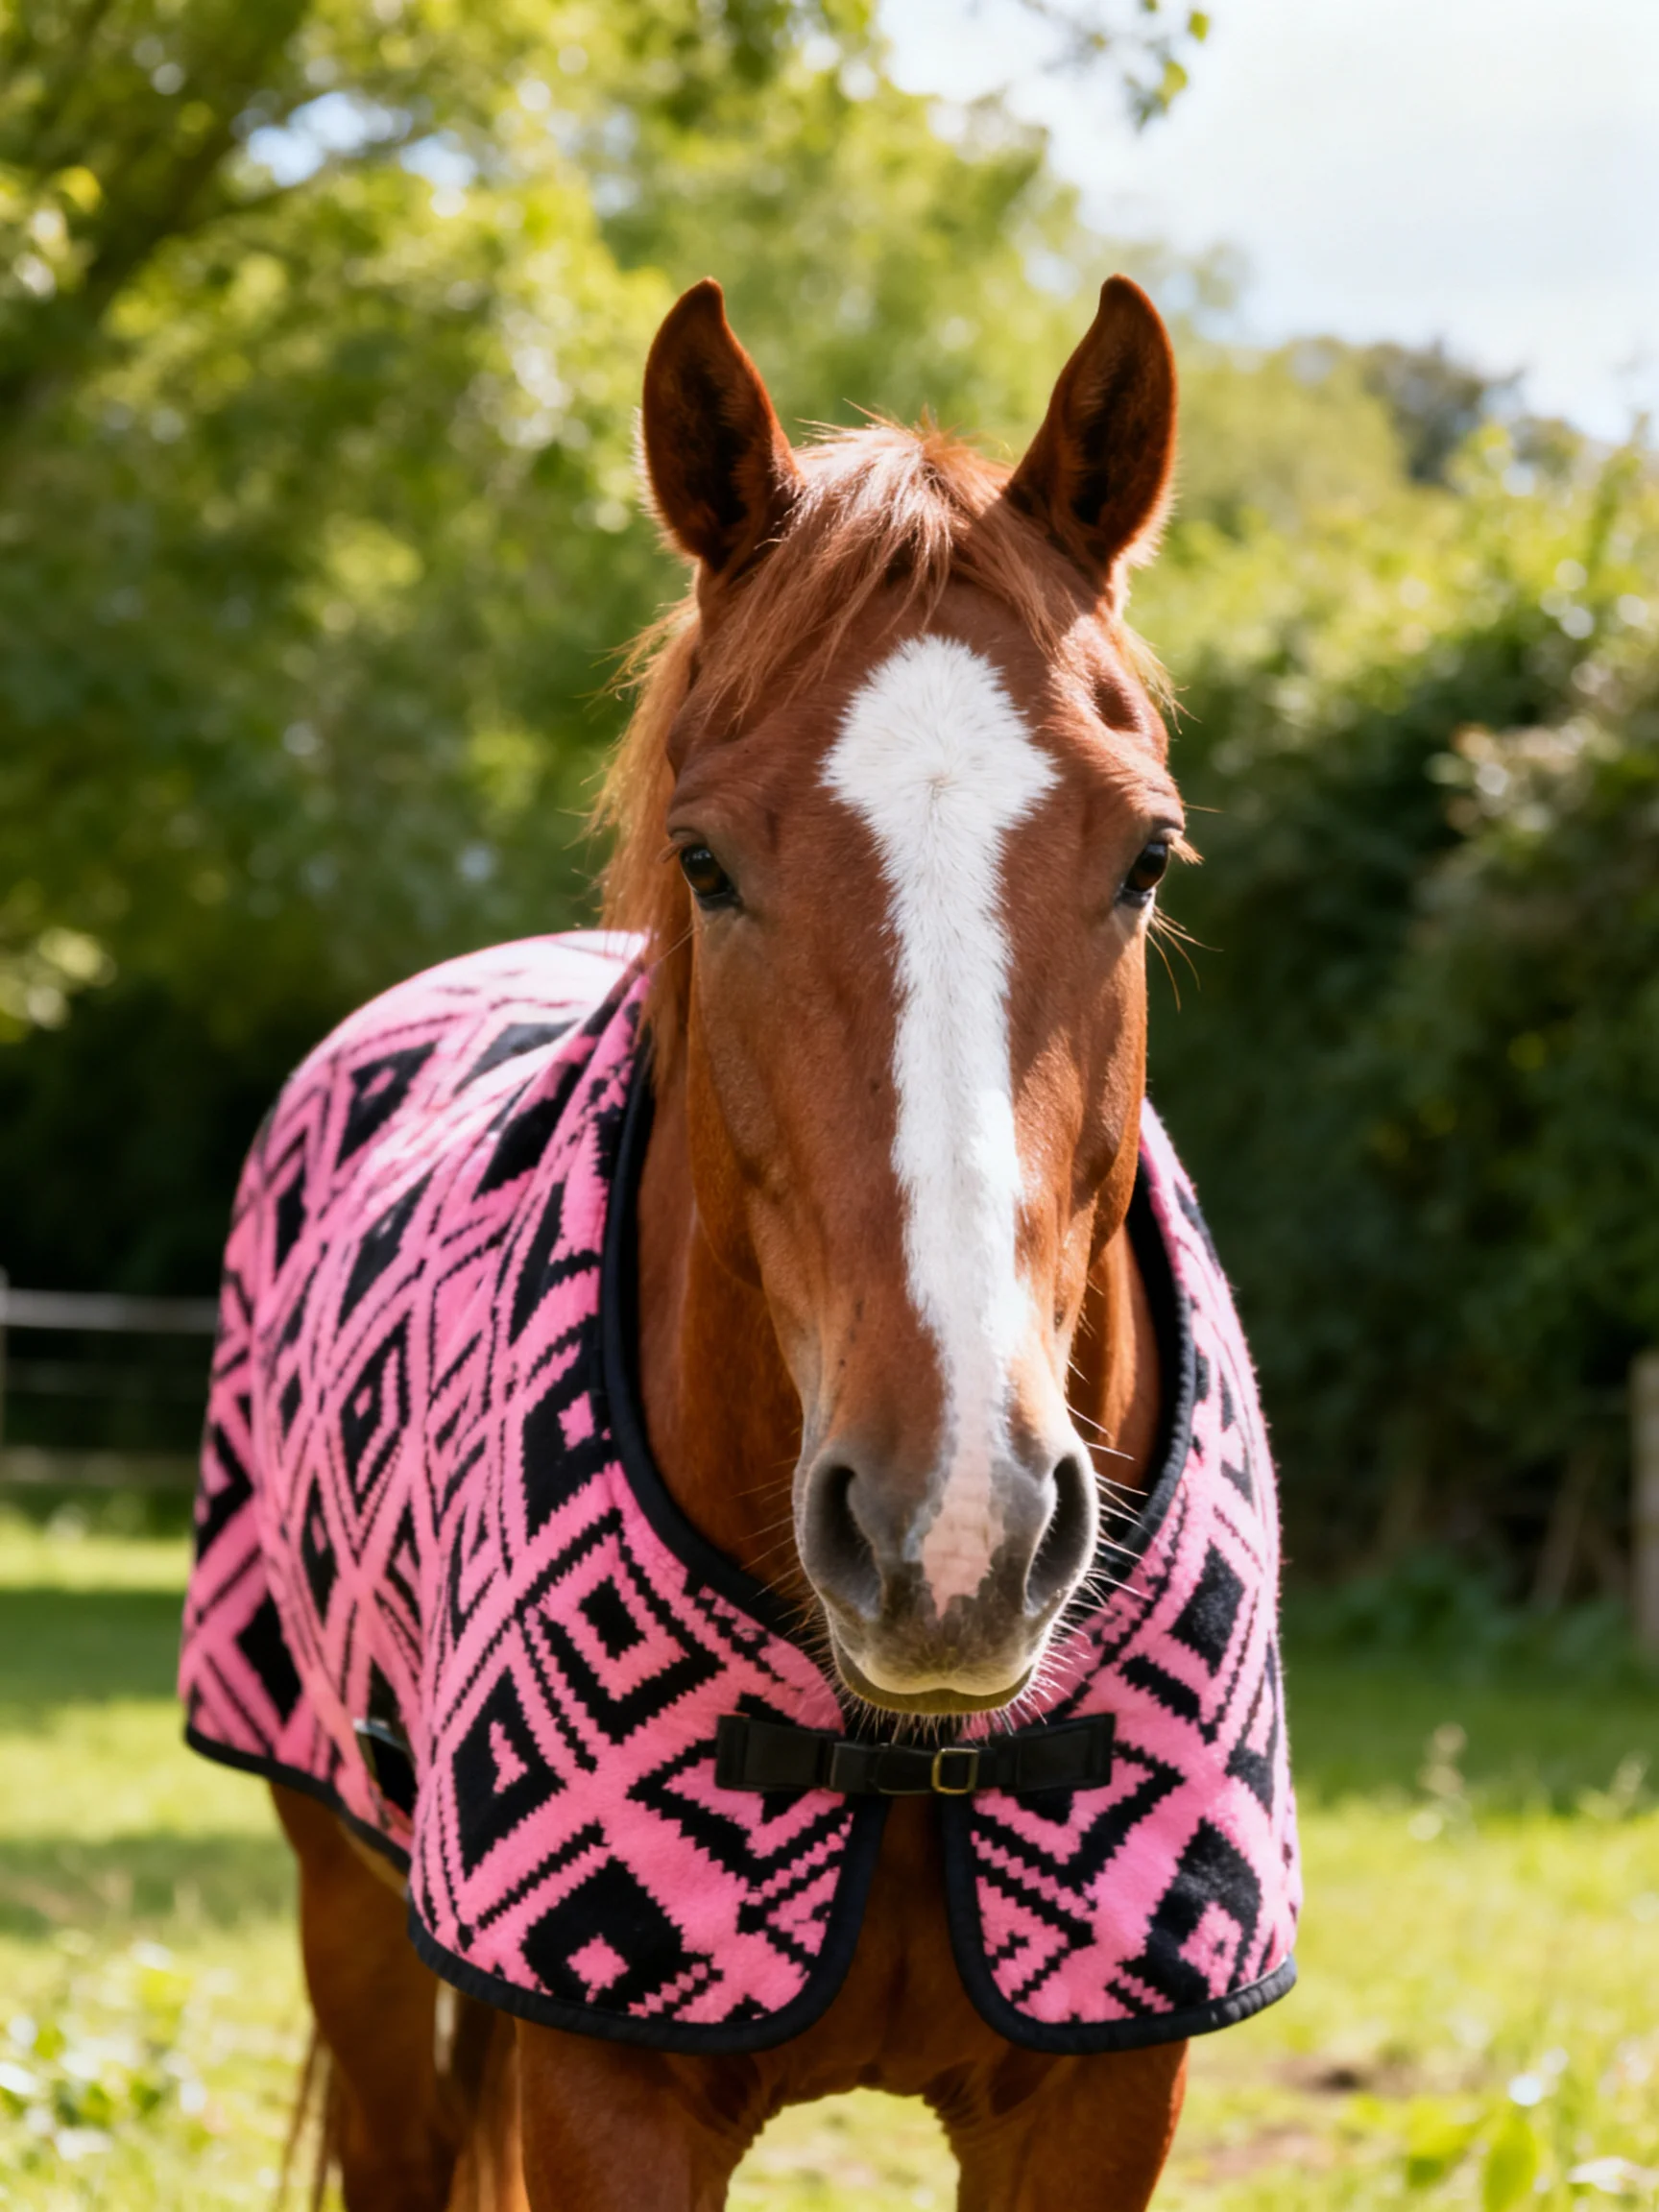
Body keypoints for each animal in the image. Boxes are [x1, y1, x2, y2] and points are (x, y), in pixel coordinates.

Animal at [180, 273, 1298, 2211]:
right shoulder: (608, 2099)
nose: (954, 1535)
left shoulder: (1098, 2104)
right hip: (344, 1898)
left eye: (1146, 854)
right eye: (705, 861)